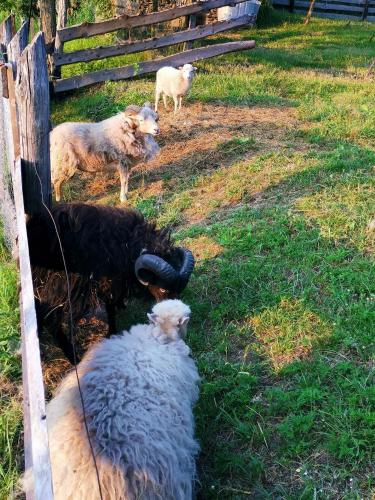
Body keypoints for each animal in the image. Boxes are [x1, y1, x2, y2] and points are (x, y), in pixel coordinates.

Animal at [27, 203, 195, 364]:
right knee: (52, 325)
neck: (122, 245)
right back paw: (74, 359)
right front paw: (111, 332)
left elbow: (112, 306)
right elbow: (109, 308)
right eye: (162, 289)